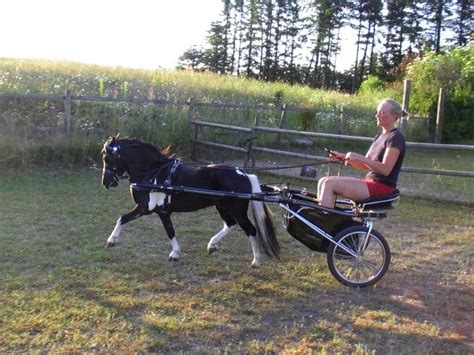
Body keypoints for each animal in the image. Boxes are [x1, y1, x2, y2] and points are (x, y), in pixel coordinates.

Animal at [99, 136, 278, 268]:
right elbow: (126, 220)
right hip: (221, 207)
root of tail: (244, 174)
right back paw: (212, 245)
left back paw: (256, 261)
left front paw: (111, 240)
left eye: (107, 157)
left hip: (237, 211)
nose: (106, 183)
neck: (154, 173)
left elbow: (164, 230)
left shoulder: (149, 209)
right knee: (230, 225)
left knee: (251, 230)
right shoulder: (155, 210)